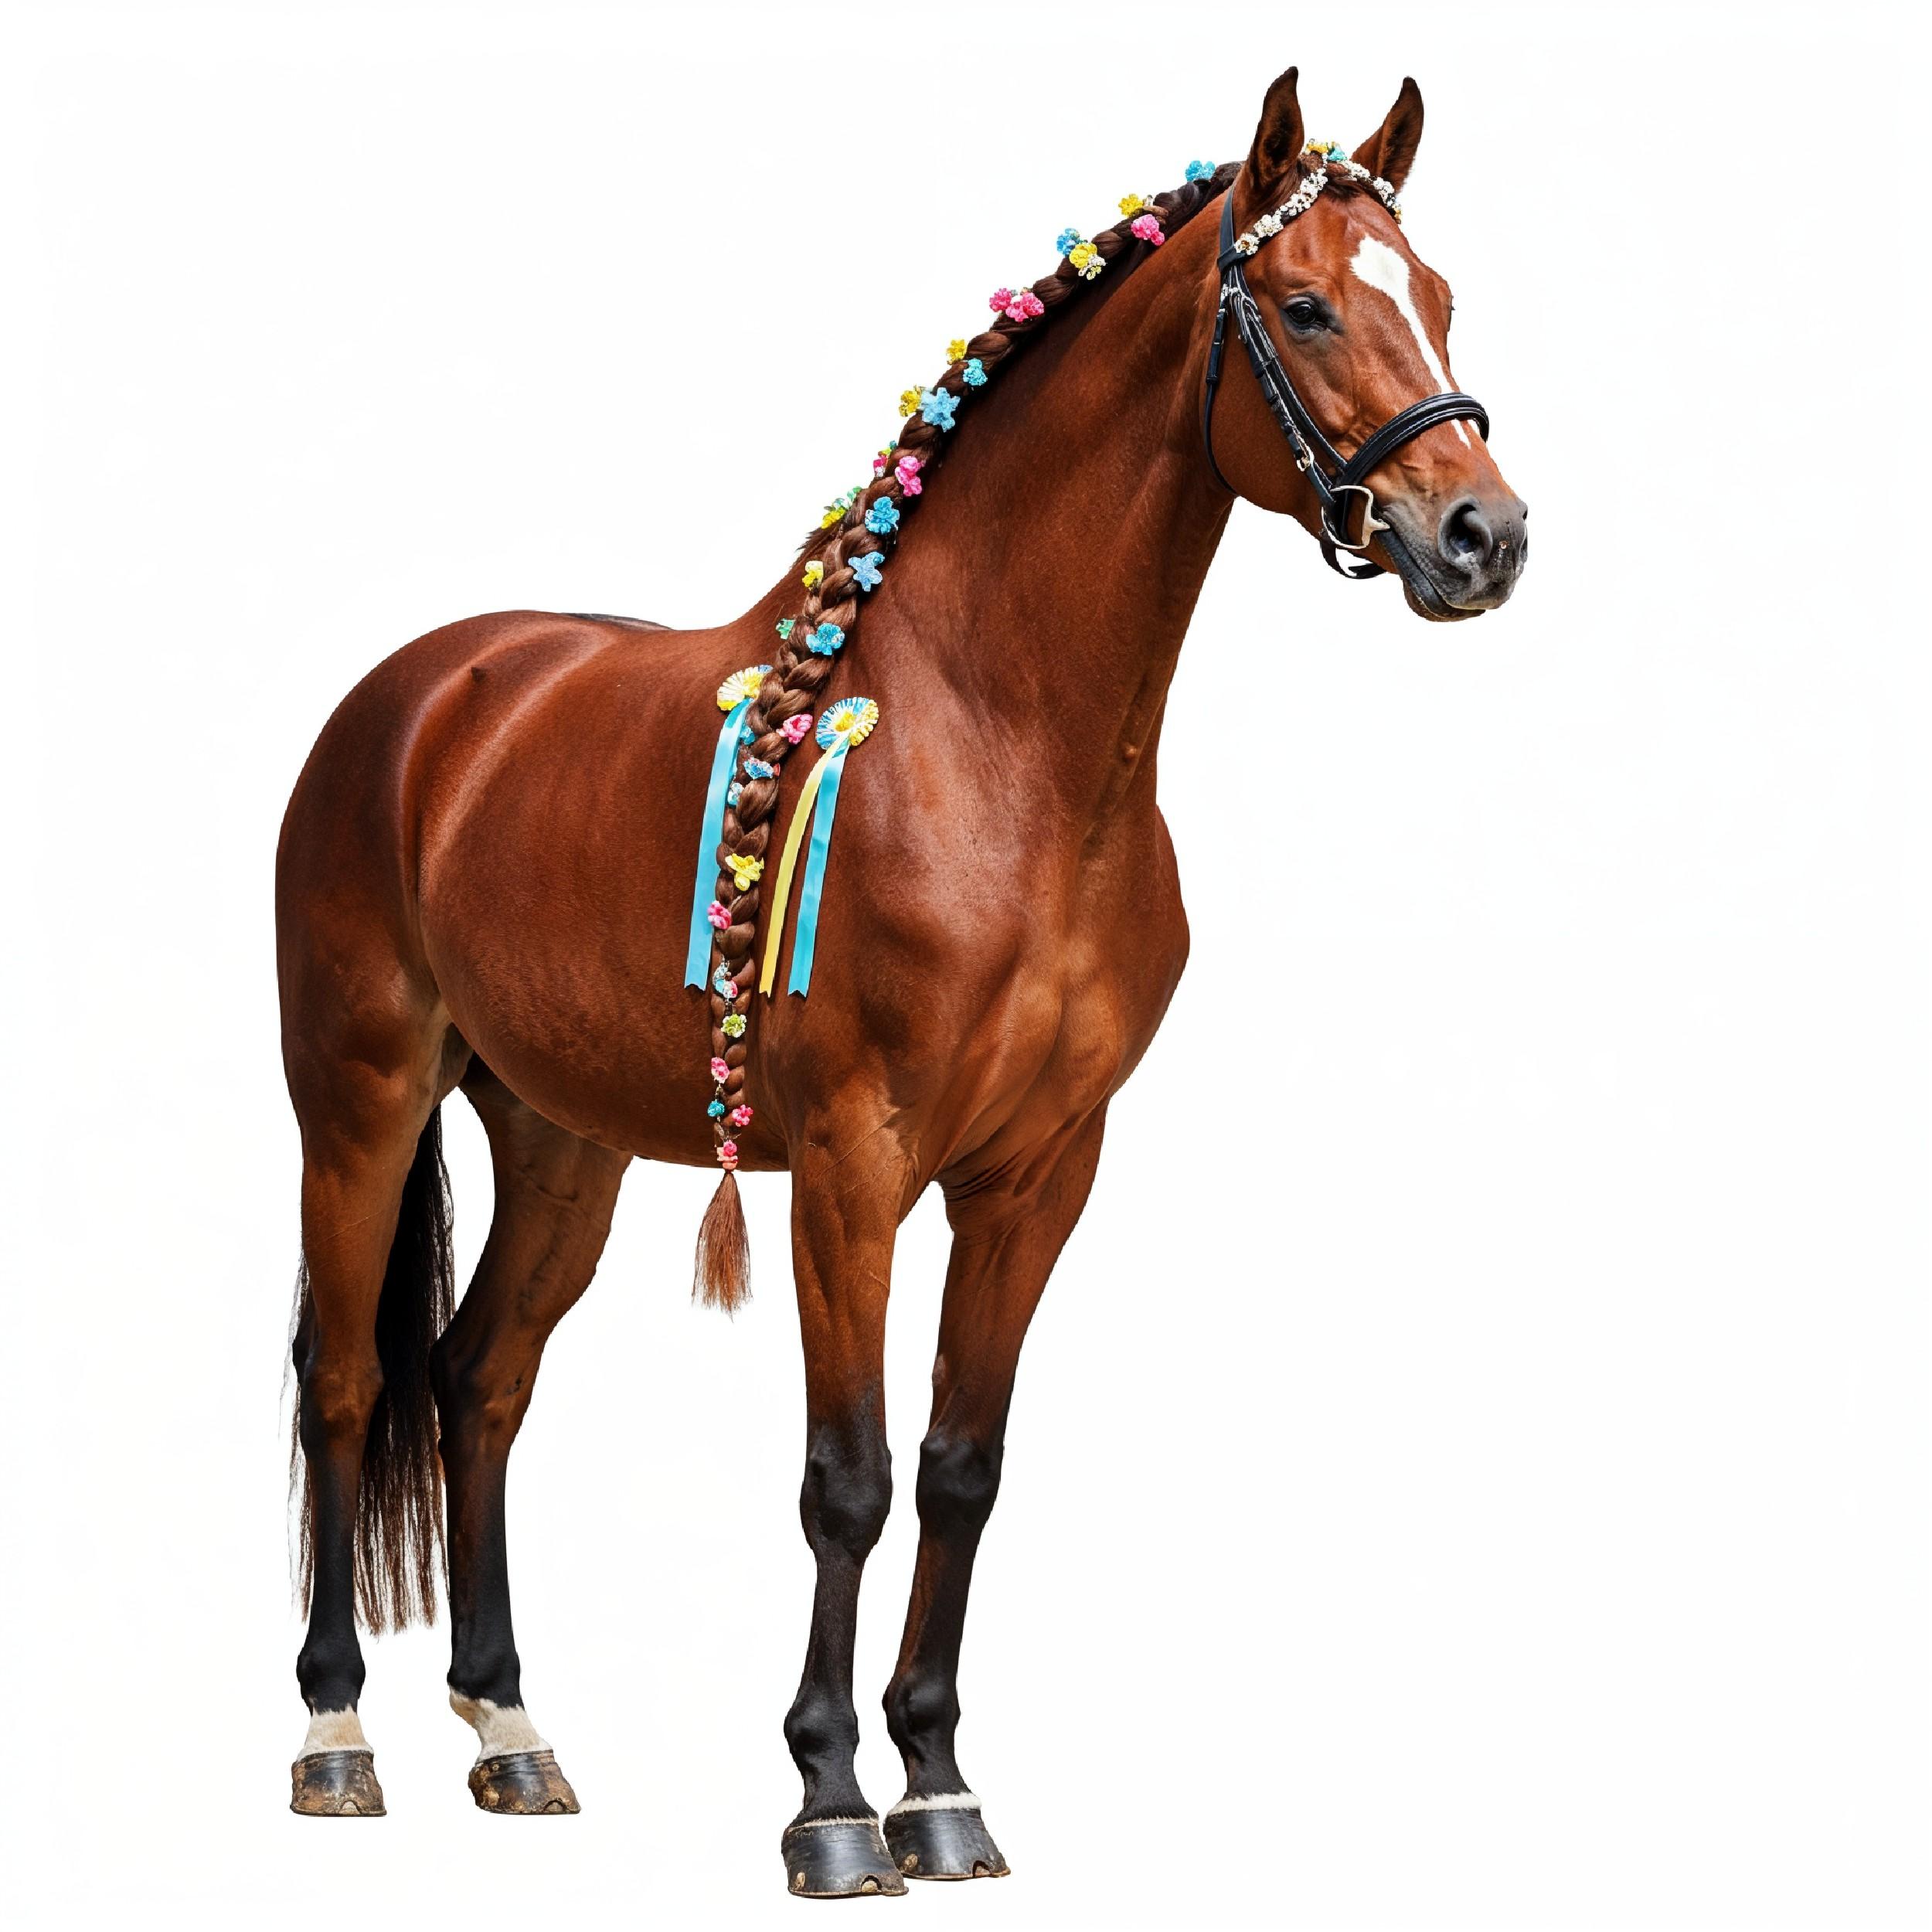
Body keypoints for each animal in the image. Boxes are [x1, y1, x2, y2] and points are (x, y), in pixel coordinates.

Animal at [278, 64, 1526, 1896]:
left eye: (1433, 296)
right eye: (1303, 306)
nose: (1481, 535)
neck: (1000, 749)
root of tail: (427, 694)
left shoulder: (1037, 1174)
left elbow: (960, 1470)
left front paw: (939, 1786)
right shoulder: (853, 1169)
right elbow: (848, 1478)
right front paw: (827, 1804)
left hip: (564, 1138)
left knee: (480, 1379)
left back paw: (511, 1731)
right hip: (358, 1101)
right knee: (351, 1382)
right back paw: (335, 1736)